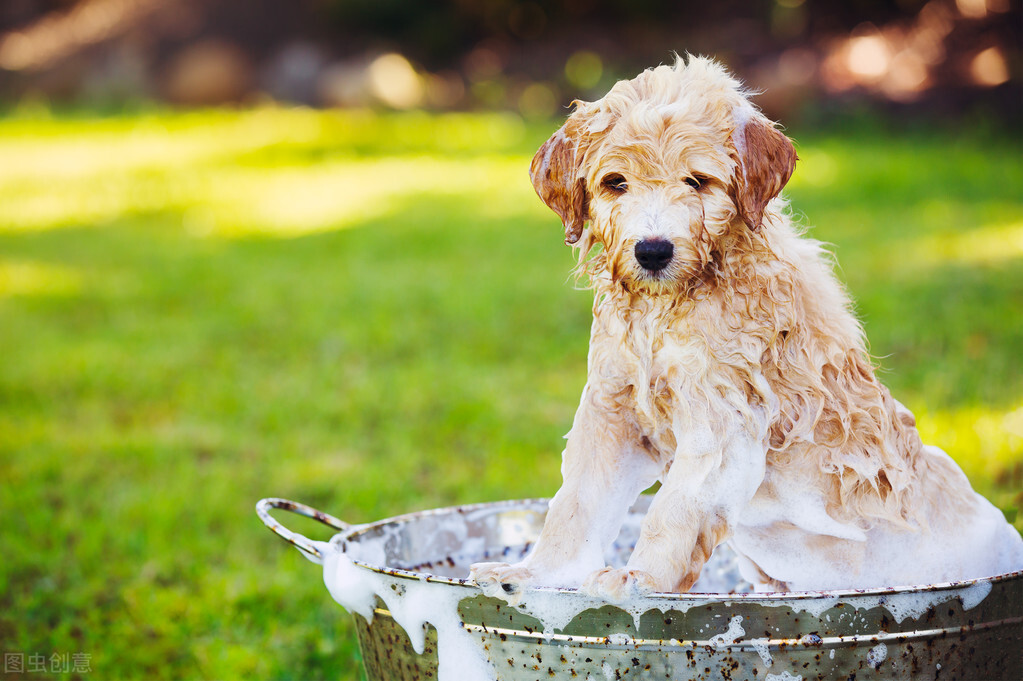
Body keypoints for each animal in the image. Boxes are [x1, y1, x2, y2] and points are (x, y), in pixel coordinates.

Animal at [468, 57, 1023, 601]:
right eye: (615, 182)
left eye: (697, 181)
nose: (653, 251)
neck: (668, 313)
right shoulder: (610, 409)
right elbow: (575, 505)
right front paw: (536, 574)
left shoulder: (721, 423)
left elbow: (669, 512)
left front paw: (639, 579)